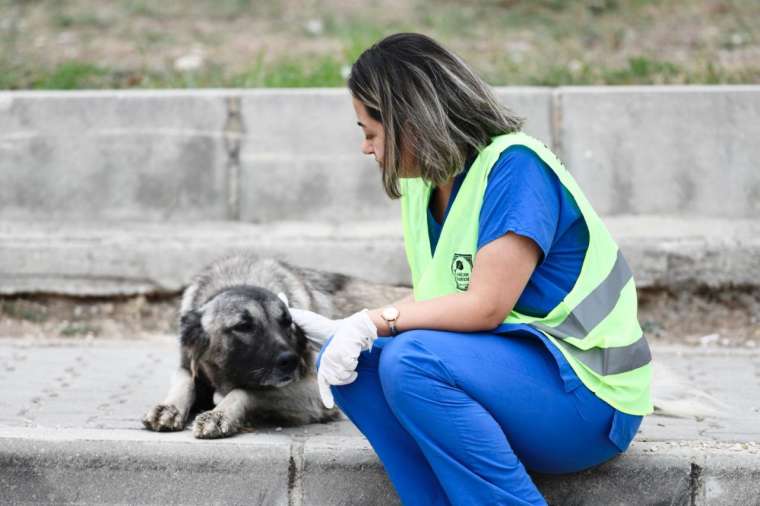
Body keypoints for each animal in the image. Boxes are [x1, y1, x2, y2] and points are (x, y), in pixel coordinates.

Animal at [142, 255, 410, 436]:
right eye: (244, 326)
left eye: (287, 322)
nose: (291, 360)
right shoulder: (188, 366)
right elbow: (184, 384)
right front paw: (169, 407)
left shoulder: (314, 392)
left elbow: (246, 391)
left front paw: (220, 413)